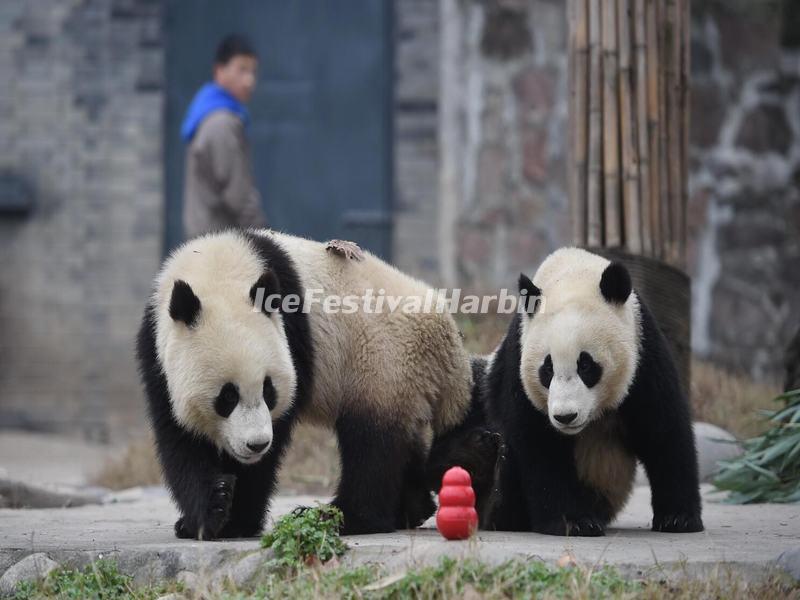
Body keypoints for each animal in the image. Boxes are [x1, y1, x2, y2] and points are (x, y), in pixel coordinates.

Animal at [136, 230, 476, 540]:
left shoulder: (291, 337)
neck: (217, 270)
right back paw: (411, 508)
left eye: (268, 390)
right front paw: (207, 512)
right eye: (227, 397)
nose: (255, 444)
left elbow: (274, 440)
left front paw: (235, 521)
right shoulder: (157, 350)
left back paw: (344, 517)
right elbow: (180, 439)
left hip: (383, 363)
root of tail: (450, 341)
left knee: (373, 446)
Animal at [482, 246, 700, 536]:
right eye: (547, 369)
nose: (565, 417)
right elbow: (539, 446)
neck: (572, 274)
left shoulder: (643, 353)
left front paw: (679, 519)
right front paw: (573, 521)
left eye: (586, 365)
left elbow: (664, 430)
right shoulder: (518, 366)